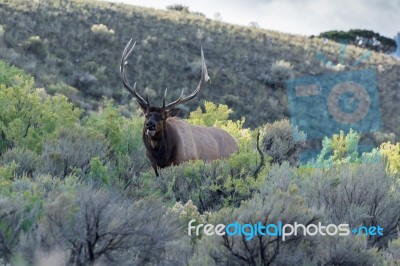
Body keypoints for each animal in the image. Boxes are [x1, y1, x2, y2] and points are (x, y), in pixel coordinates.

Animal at [119, 39, 238, 177]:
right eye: (146, 115)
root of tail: (238, 143)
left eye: (163, 117)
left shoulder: (183, 163)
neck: (162, 158)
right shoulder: (154, 167)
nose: (150, 125)